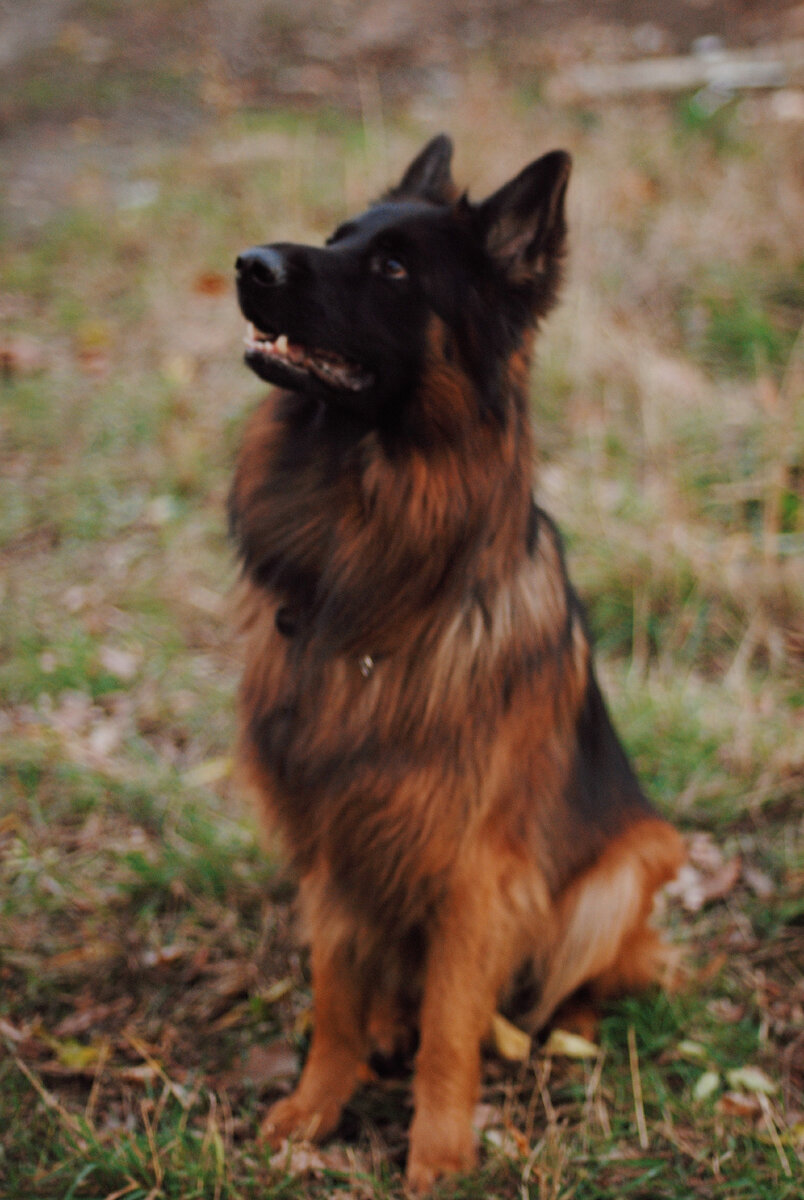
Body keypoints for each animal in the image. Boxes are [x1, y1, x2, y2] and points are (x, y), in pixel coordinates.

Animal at [230, 133, 681, 1190]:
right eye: (336, 237)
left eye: (395, 269)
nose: (250, 266)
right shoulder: (332, 838)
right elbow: (335, 993)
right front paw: (314, 1109)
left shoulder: (478, 871)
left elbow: (451, 1027)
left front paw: (438, 1152)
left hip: (632, 865)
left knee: (579, 980)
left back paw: (565, 1033)